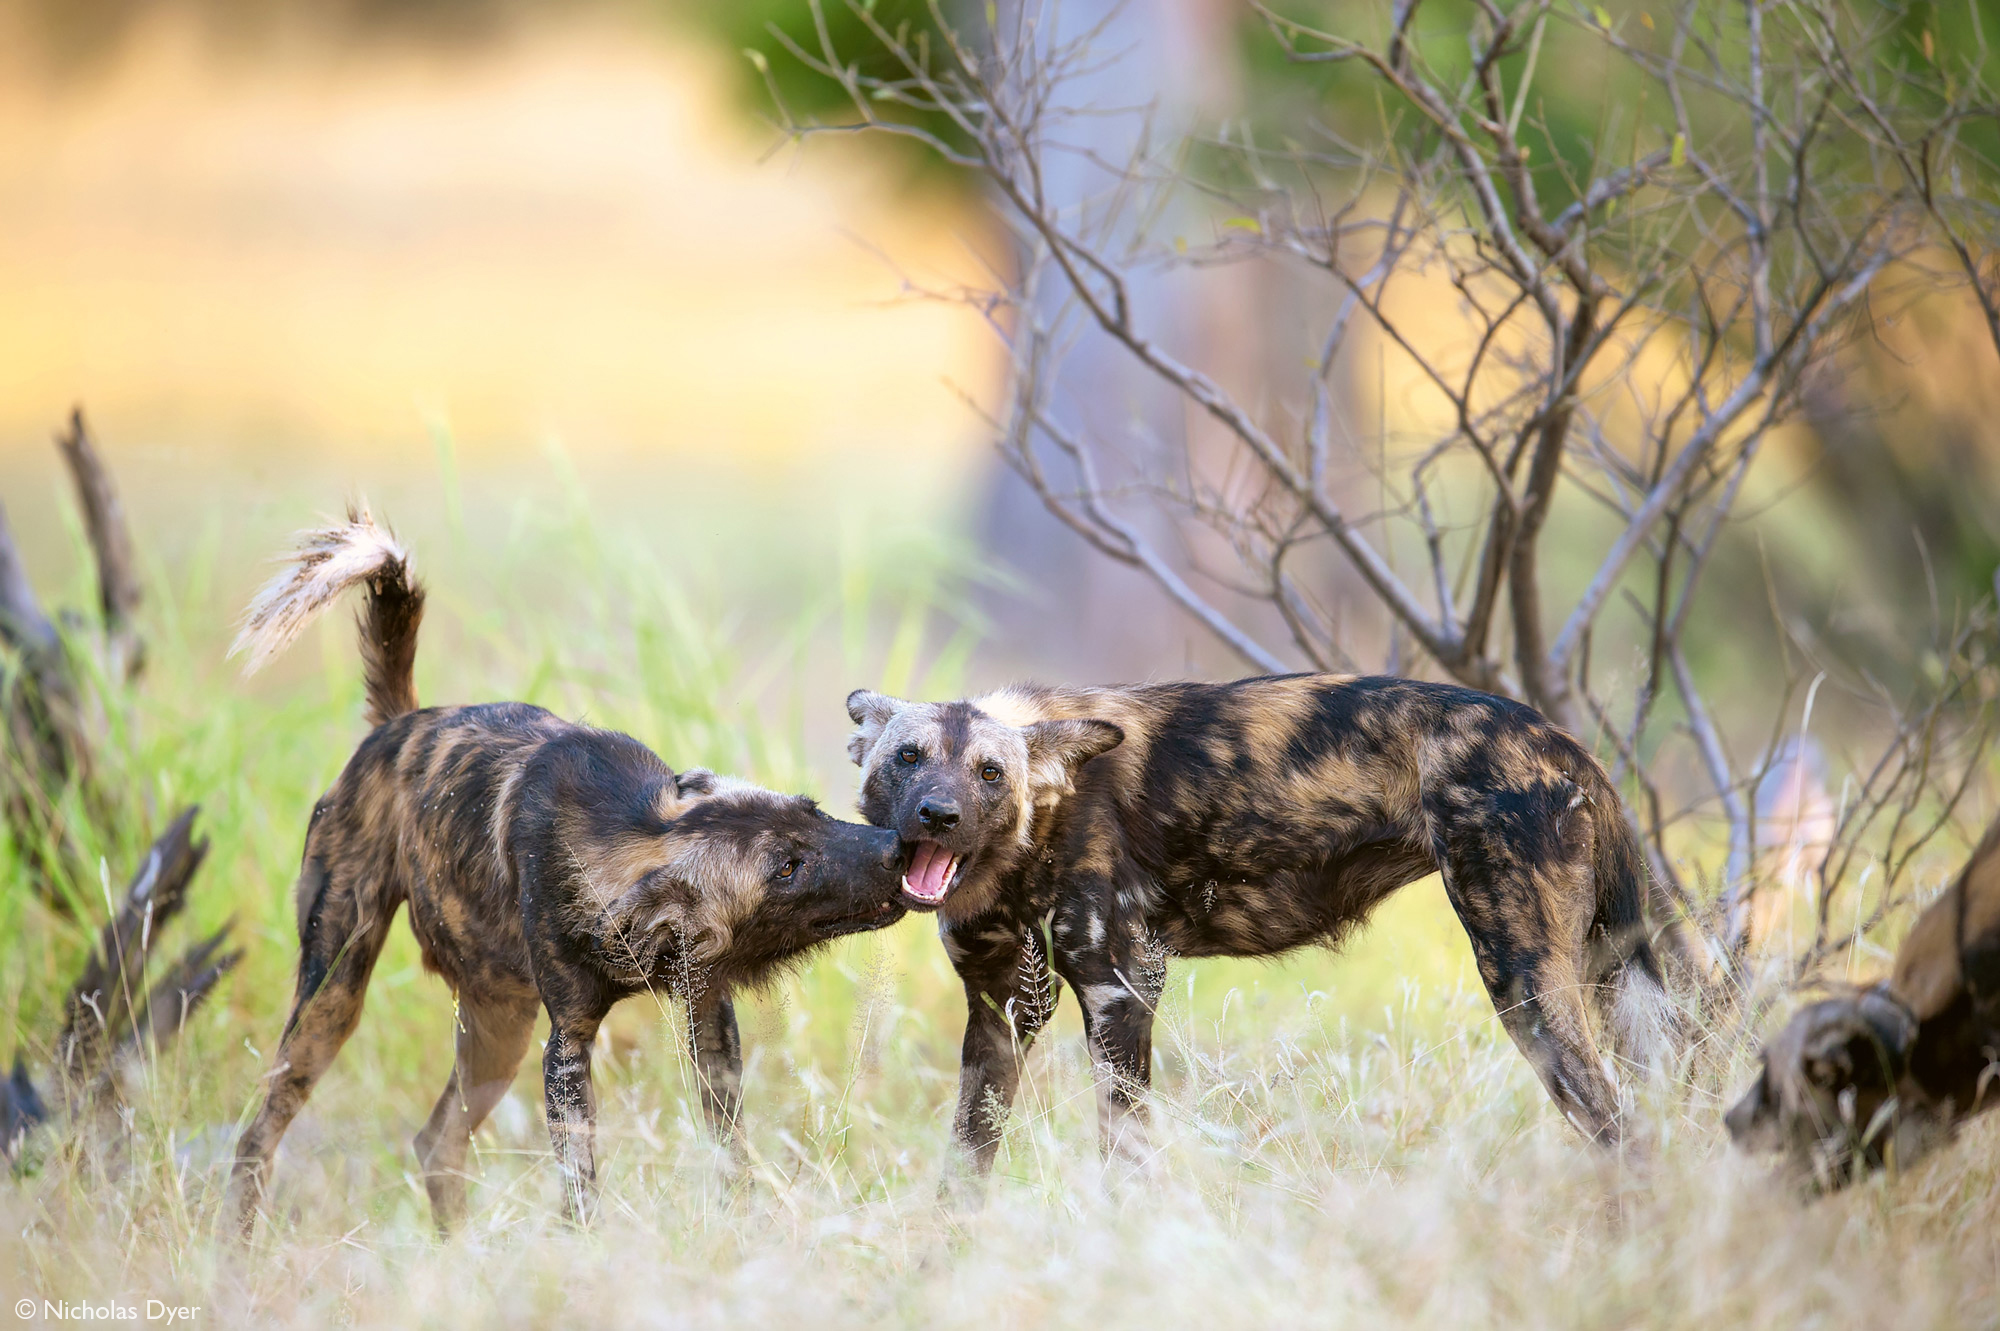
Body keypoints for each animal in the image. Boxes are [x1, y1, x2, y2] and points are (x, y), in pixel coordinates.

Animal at [229, 503, 920, 1231]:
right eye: (788, 867)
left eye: (812, 811)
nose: (895, 847)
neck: (619, 840)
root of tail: (398, 724)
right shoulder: (566, 1047)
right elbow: (582, 1187)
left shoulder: (708, 1016)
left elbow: (730, 1151)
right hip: (333, 999)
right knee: (258, 1135)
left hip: (496, 1031)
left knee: (436, 1141)